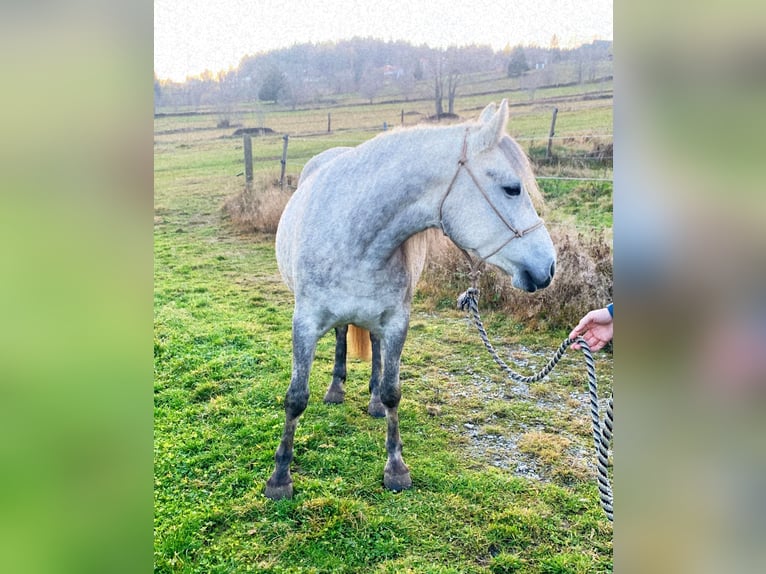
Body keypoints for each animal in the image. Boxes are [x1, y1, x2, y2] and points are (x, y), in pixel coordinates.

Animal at [268, 101, 556, 502]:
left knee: (372, 347)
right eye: (512, 188)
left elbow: (392, 392)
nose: (549, 266)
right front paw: (280, 476)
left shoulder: (395, 322)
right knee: (341, 336)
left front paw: (395, 468)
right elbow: (295, 397)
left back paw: (370, 401)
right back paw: (336, 389)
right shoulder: (305, 323)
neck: (355, 233)